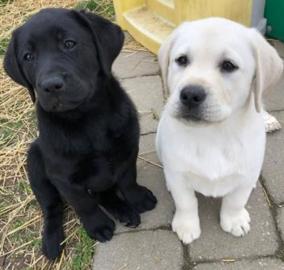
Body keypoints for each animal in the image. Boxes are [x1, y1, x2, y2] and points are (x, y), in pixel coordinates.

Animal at [3, 7, 158, 260]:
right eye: (28, 57)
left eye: (69, 43)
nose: (50, 85)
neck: (87, 117)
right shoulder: (63, 178)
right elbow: (83, 203)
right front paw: (97, 225)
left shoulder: (127, 150)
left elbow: (128, 179)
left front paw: (137, 198)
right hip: (36, 165)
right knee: (53, 208)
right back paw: (52, 241)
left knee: (103, 193)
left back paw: (124, 210)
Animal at [156, 17, 282, 244]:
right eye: (182, 60)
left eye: (228, 65)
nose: (190, 94)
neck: (214, 134)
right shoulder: (178, 173)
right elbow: (186, 201)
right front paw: (187, 225)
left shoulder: (246, 173)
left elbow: (236, 200)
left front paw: (234, 220)